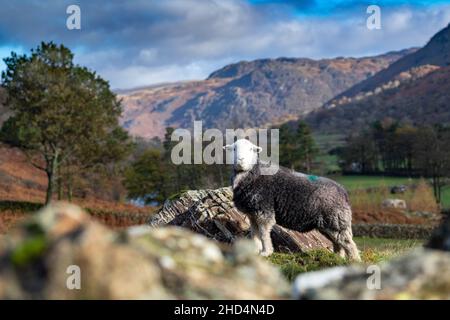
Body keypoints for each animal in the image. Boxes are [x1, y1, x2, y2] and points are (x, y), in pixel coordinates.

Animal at [225, 139, 362, 262]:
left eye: (251, 149)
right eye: (234, 149)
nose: (241, 159)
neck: (253, 174)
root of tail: (343, 191)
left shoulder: (264, 211)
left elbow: (263, 234)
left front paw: (266, 252)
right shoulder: (252, 214)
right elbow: (255, 234)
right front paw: (255, 251)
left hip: (336, 220)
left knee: (348, 243)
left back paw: (354, 261)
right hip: (328, 224)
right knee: (338, 243)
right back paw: (337, 258)